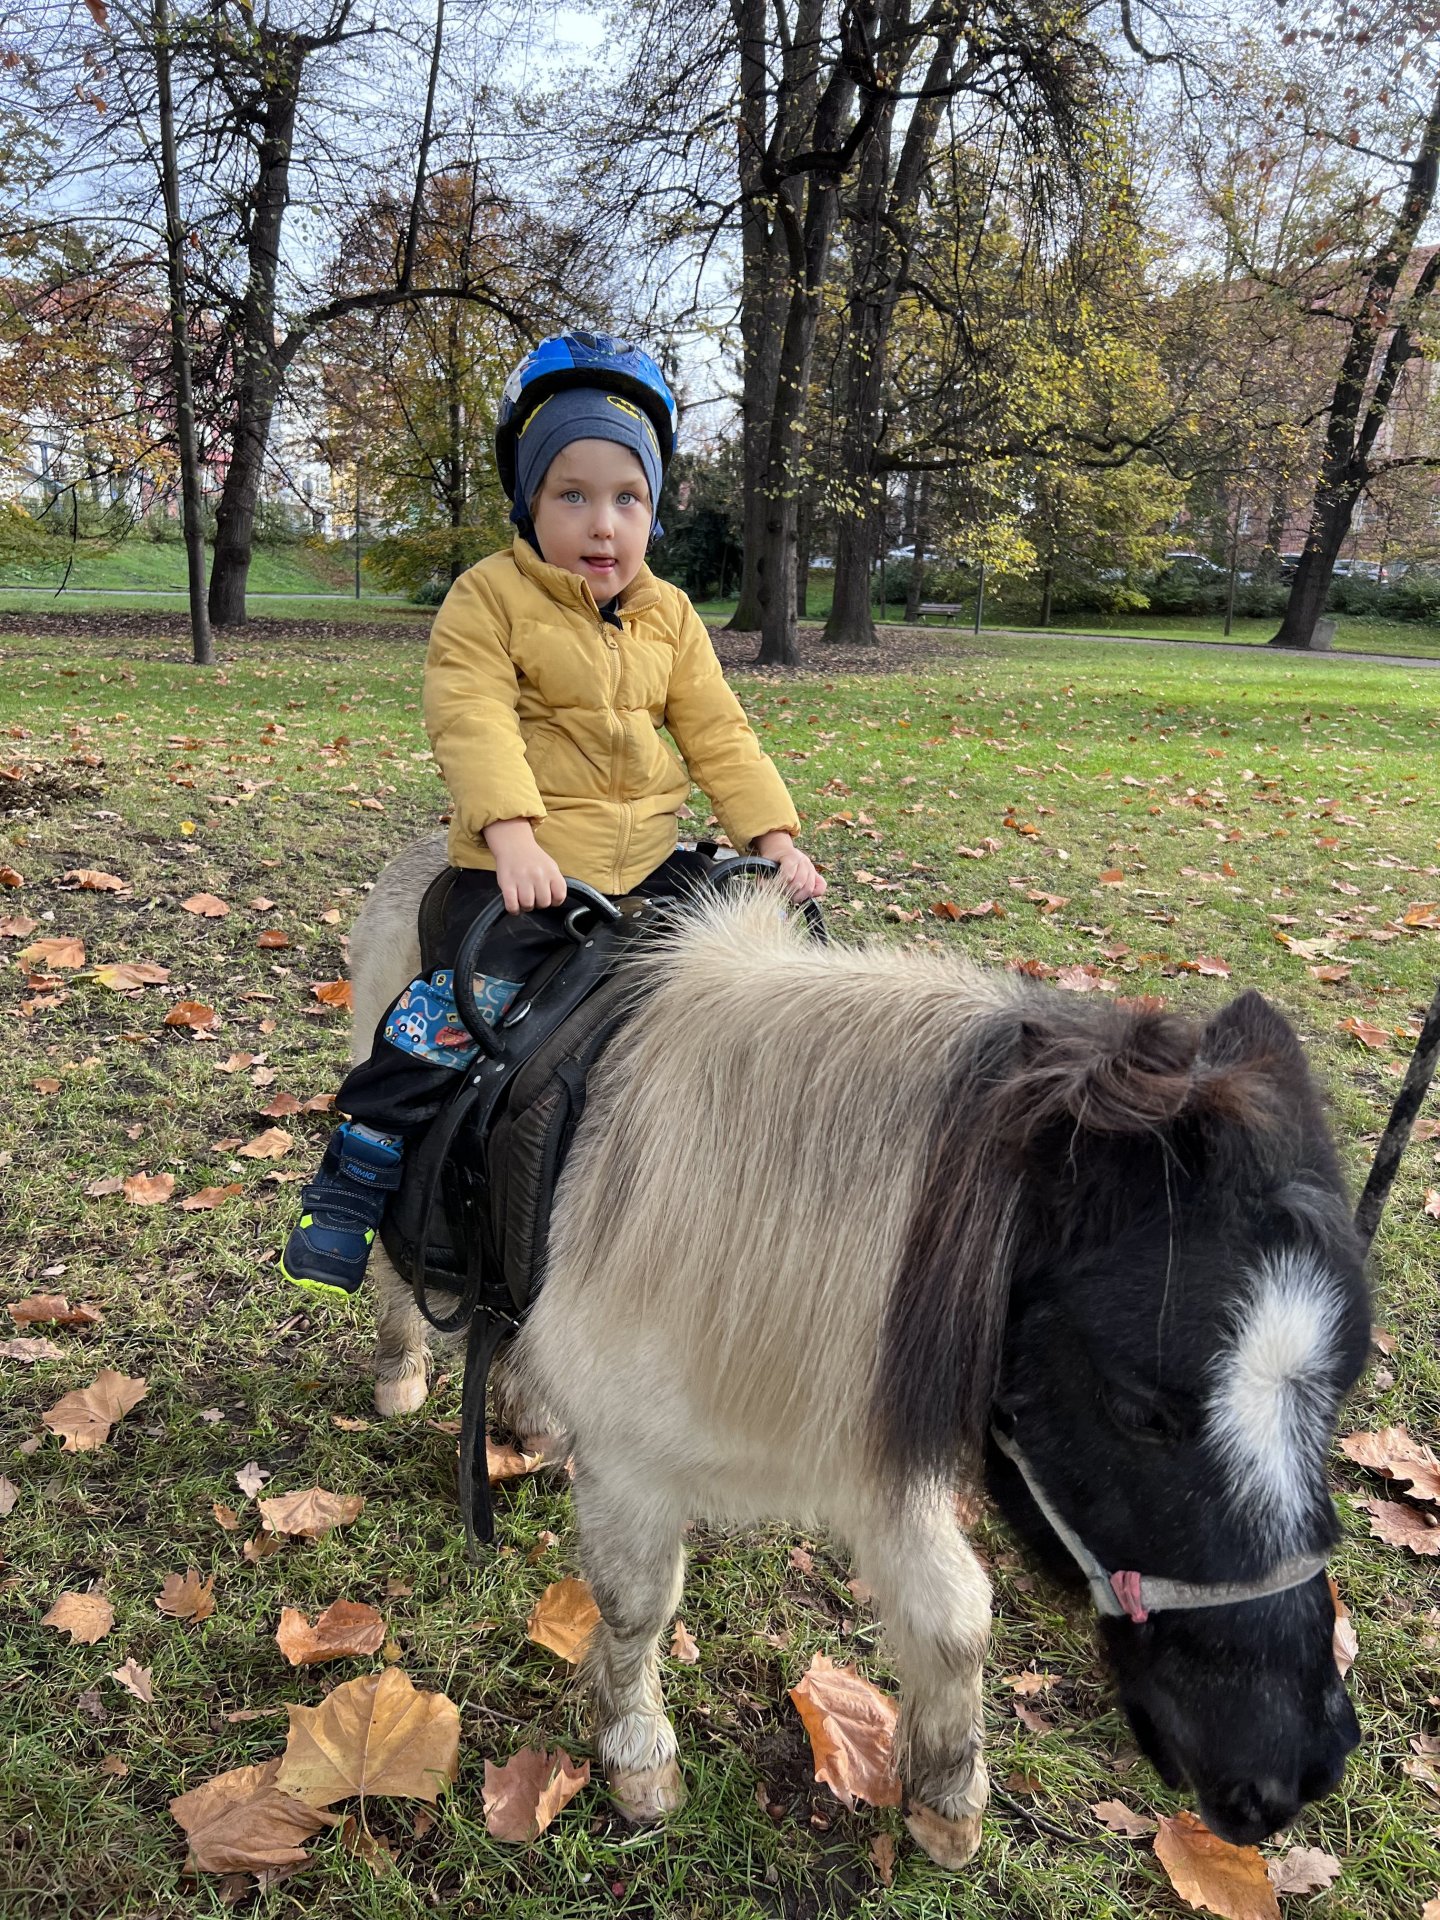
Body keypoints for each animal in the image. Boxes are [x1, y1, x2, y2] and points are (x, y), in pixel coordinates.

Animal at [350, 837, 1370, 1867]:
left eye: (1341, 1387)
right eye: (1138, 1408)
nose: (1296, 1768)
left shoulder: (874, 1443)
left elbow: (956, 1619)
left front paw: (946, 1800)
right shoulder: (634, 1472)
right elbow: (638, 1605)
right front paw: (638, 1759)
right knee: (396, 1253)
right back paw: (403, 1373)